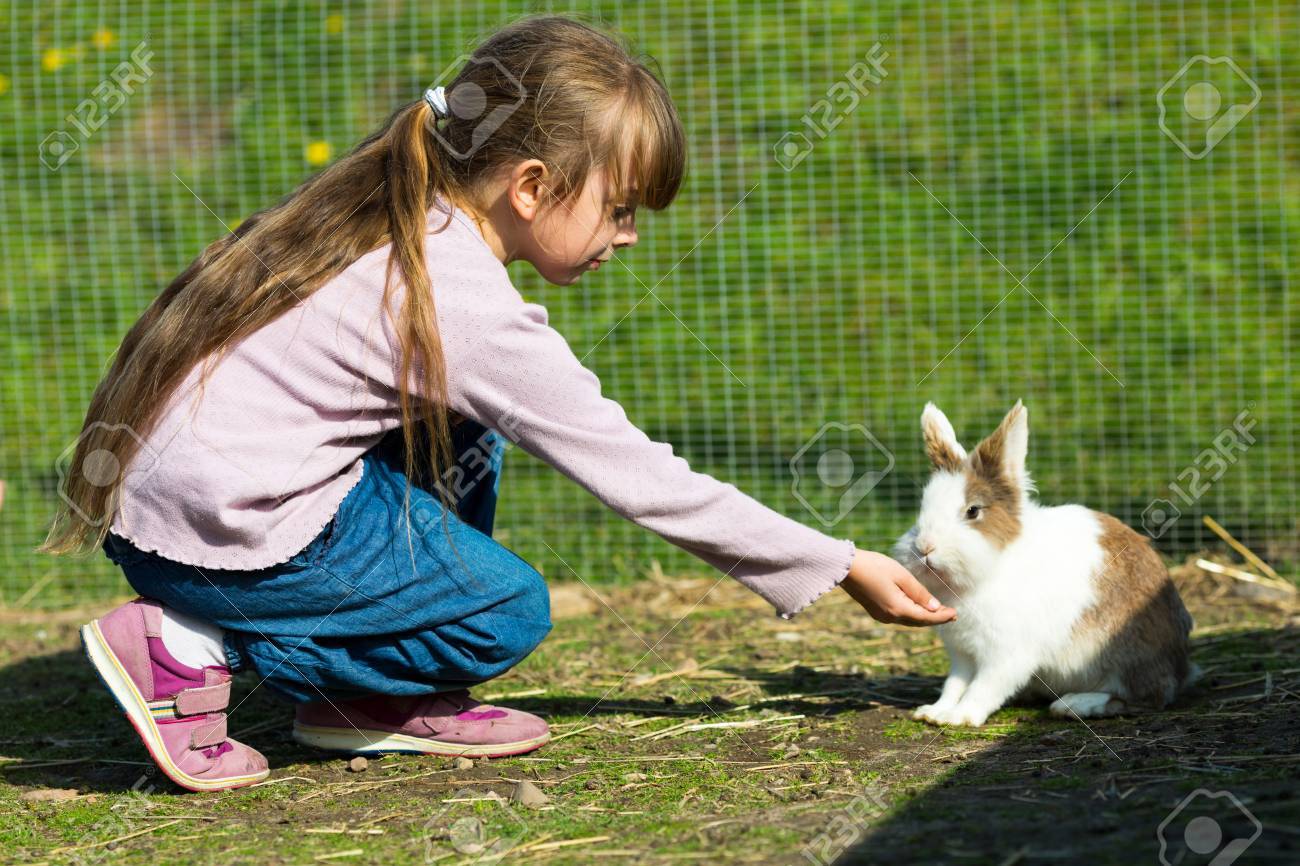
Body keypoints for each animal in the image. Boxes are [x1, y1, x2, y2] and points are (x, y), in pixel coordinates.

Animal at [893, 400, 1197, 727]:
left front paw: (960, 717)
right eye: (922, 509)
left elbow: (983, 687)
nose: (924, 547)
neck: (992, 565)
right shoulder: (962, 654)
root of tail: (1181, 665)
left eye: (972, 511)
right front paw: (934, 712)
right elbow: (954, 684)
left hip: (1126, 657)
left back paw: (1075, 704)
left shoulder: (1006, 655)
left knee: (1144, 697)